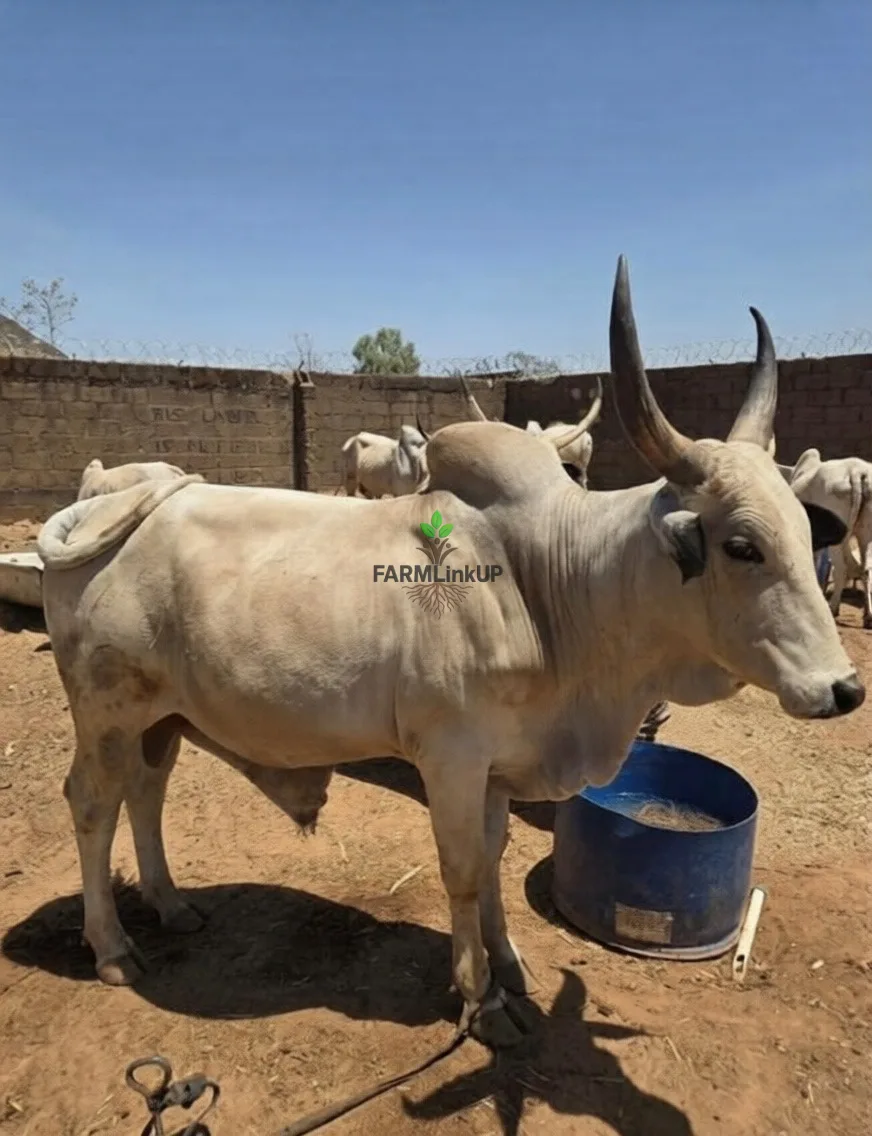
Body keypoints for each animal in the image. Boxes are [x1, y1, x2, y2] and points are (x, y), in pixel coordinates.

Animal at [36, 255, 862, 1051]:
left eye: (804, 531)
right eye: (741, 545)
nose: (845, 689)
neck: (549, 587)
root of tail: (107, 501)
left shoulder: (499, 767)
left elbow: (493, 862)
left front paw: (511, 966)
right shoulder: (453, 760)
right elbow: (463, 873)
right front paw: (480, 998)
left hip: (162, 718)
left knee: (146, 794)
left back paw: (171, 905)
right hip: (107, 714)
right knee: (92, 803)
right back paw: (112, 946)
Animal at [778, 448, 872, 627]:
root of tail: (857, 472)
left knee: (842, 569)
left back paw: (833, 609)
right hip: (866, 536)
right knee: (866, 569)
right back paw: (867, 617)